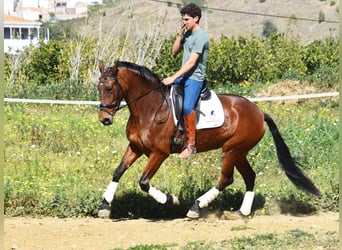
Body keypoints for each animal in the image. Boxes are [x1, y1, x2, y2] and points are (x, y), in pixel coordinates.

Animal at [96, 60, 320, 219]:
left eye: (110, 88)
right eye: (98, 88)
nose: (105, 119)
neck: (150, 108)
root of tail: (258, 111)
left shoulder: (160, 153)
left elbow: (143, 182)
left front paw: (170, 199)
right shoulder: (135, 147)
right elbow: (118, 172)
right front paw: (105, 205)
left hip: (231, 150)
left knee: (226, 179)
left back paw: (196, 207)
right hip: (239, 152)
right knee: (250, 176)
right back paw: (241, 212)